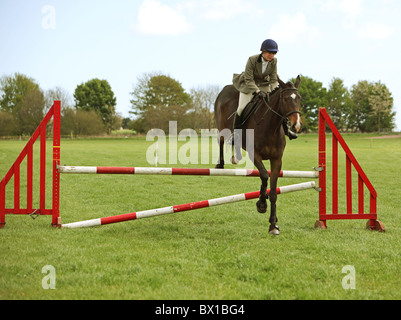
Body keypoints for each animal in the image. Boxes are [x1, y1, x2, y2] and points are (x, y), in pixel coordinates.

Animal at [212, 75, 300, 235]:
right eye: (285, 99)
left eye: (299, 98)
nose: (296, 125)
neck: (270, 127)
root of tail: (225, 89)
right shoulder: (255, 155)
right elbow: (264, 175)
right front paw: (261, 204)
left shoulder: (277, 160)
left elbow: (272, 190)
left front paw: (273, 224)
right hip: (222, 127)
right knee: (220, 140)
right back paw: (220, 164)